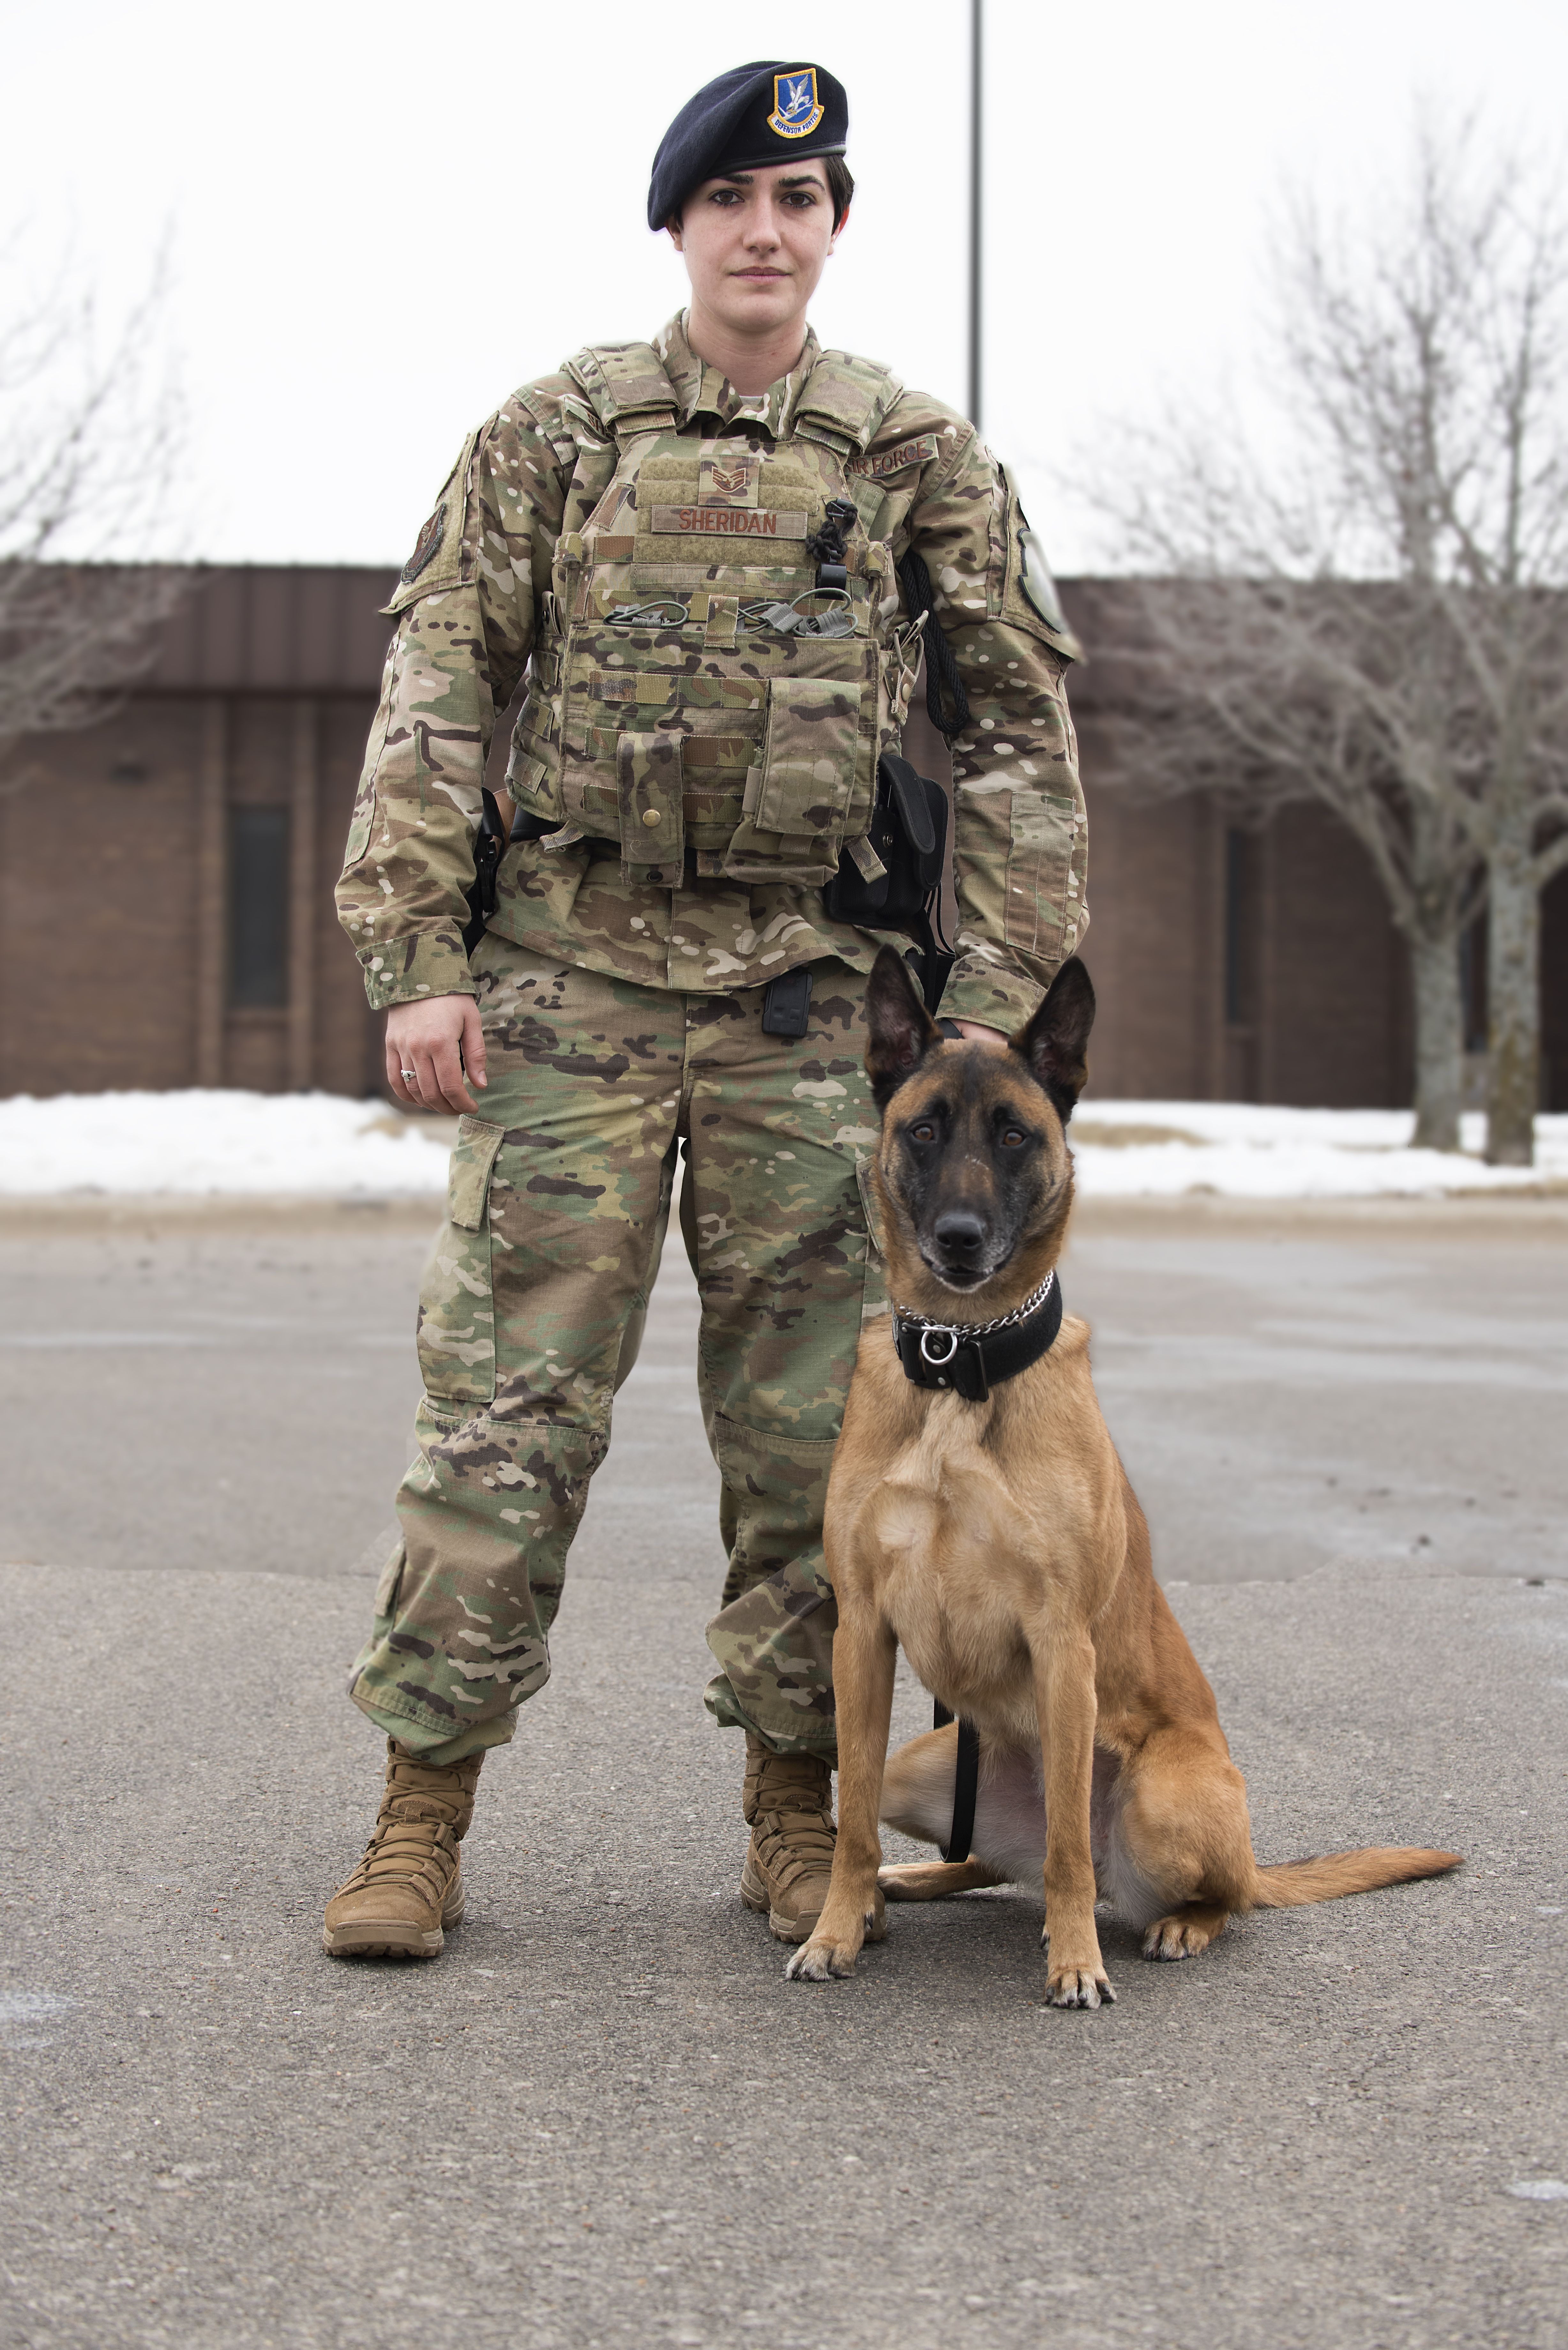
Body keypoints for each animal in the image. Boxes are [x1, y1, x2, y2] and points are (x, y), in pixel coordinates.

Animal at [790, 944, 1467, 2012]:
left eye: (1015, 1133)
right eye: (924, 1127)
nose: (958, 1236)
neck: (960, 1358)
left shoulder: (1062, 1645)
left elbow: (1068, 1844)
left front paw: (1074, 1964)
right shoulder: (862, 1635)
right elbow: (848, 1816)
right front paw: (836, 1928)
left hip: (1161, 1799)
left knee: (1186, 1885)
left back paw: (1173, 1926)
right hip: (925, 1763)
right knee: (981, 1859)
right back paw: (910, 1879)